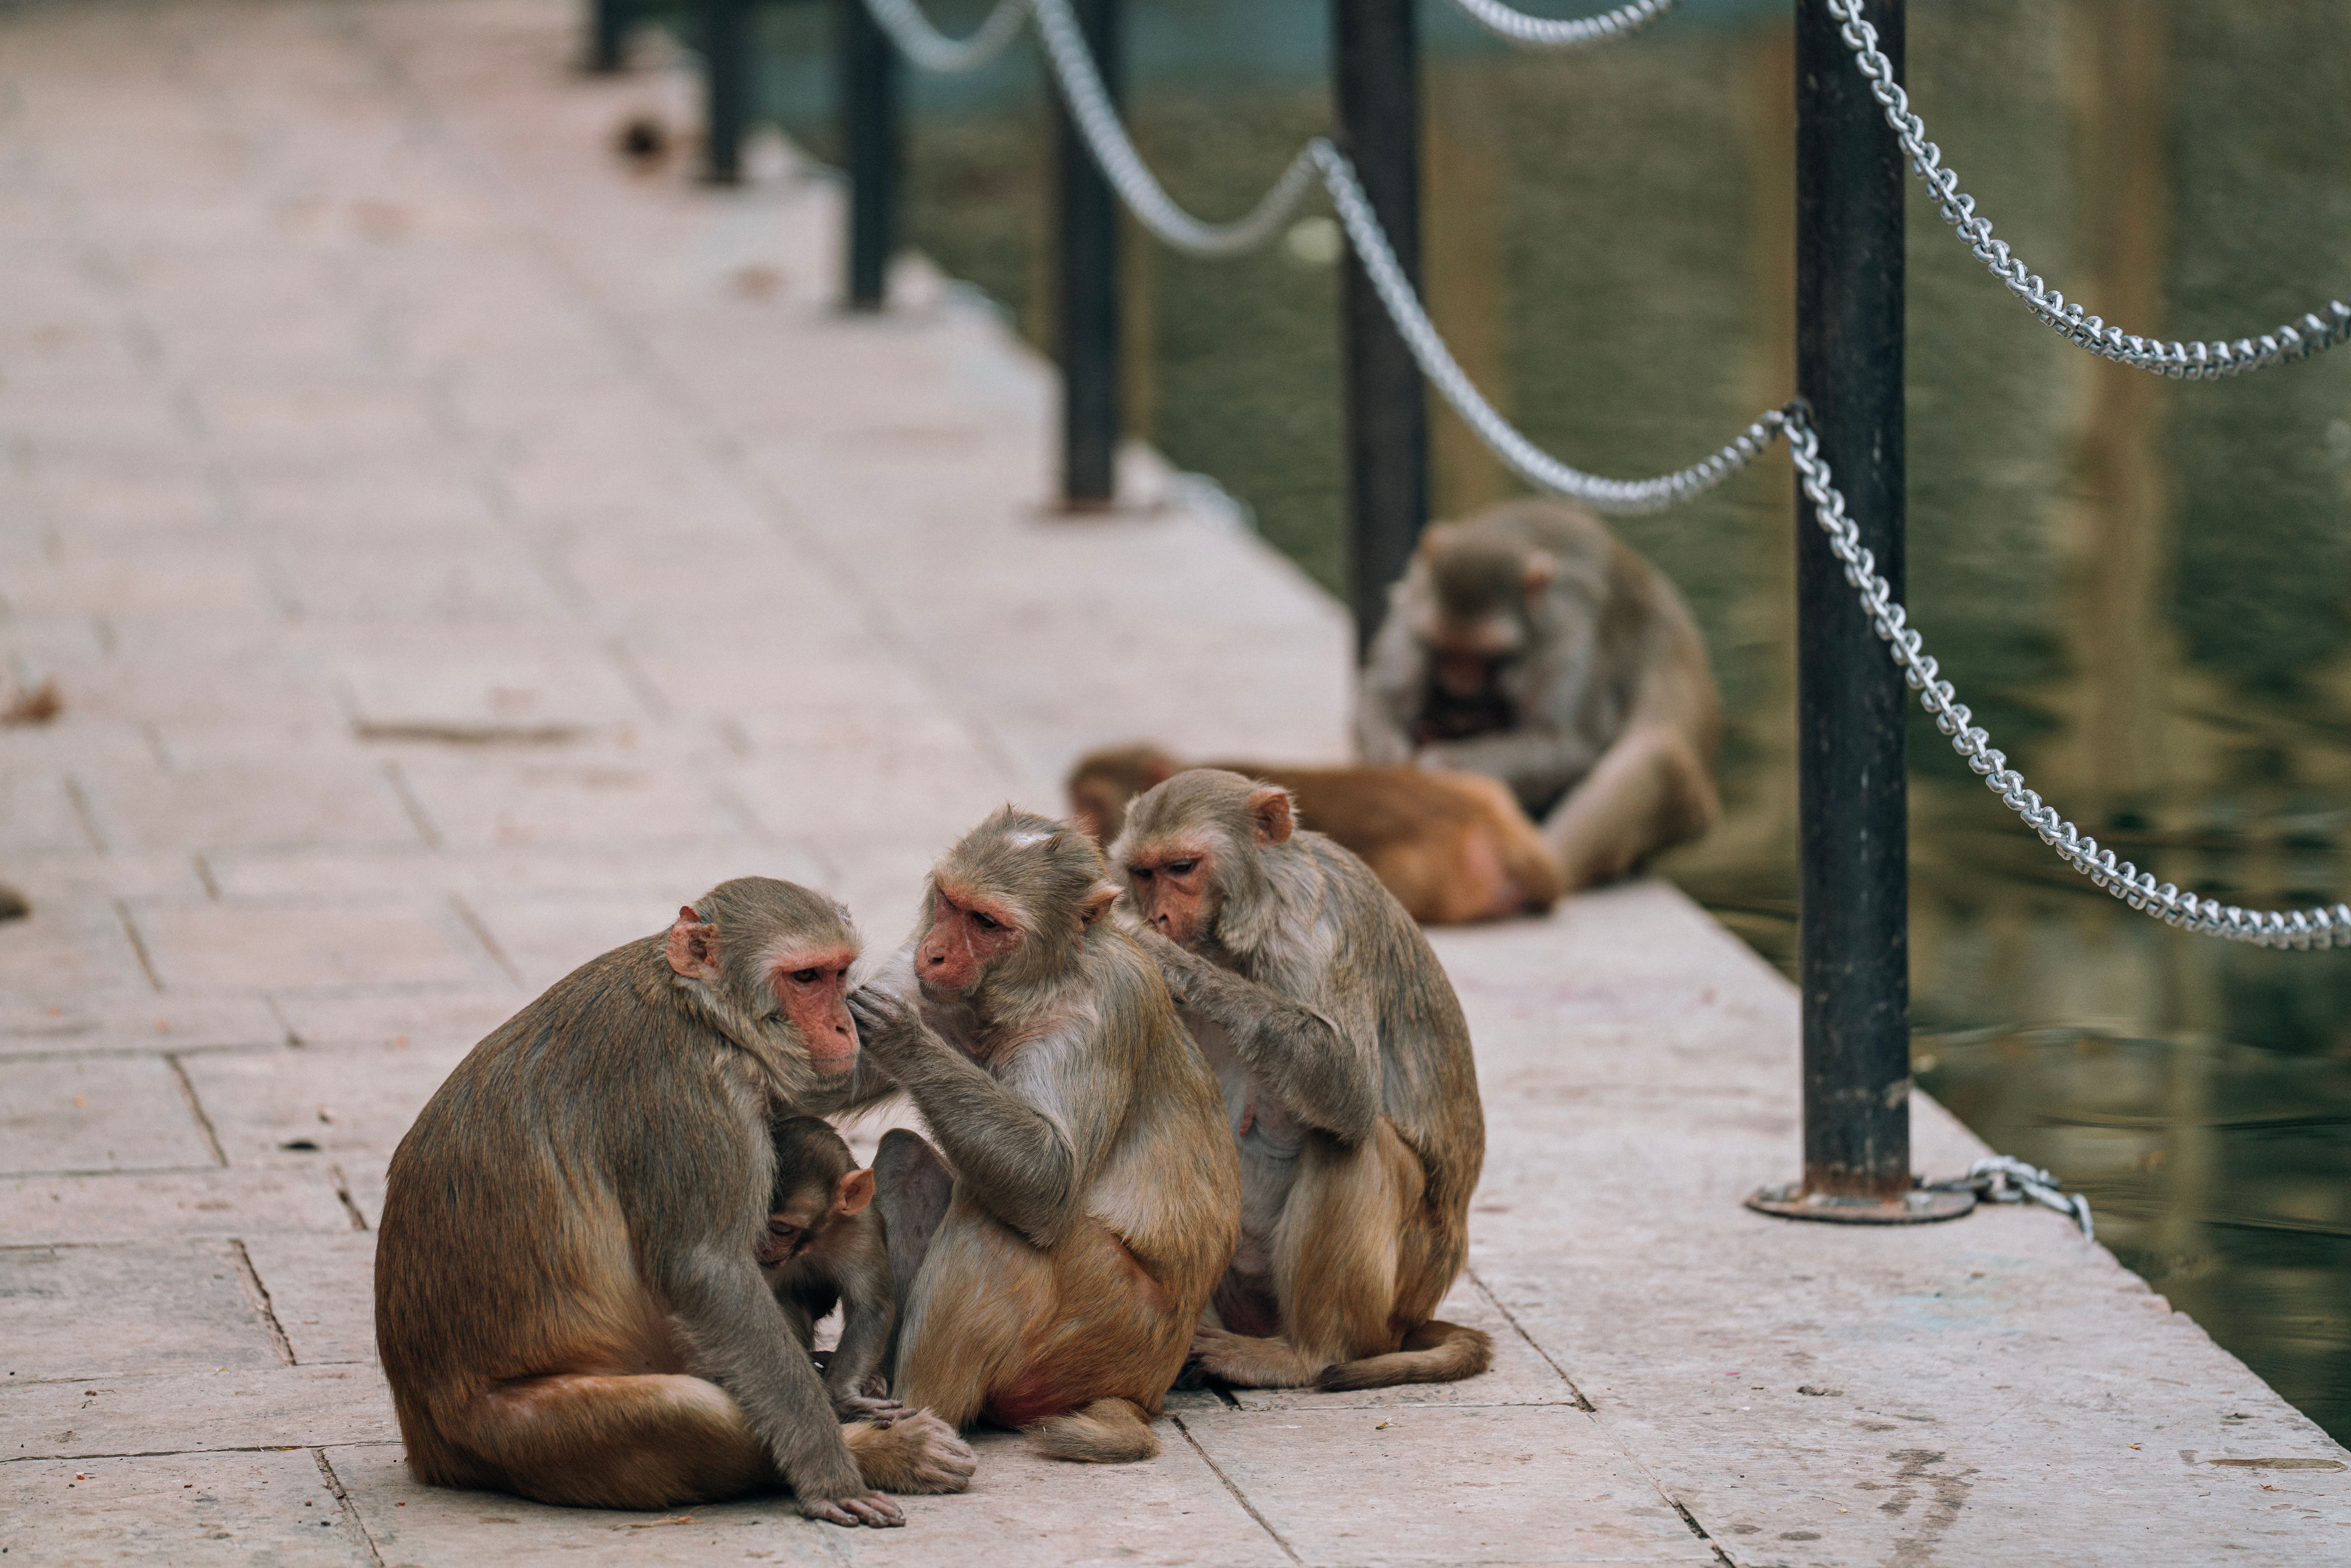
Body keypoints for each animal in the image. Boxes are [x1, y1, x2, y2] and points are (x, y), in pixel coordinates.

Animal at [757, 1115, 900, 1423]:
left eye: (782, 1229)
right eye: (759, 1221)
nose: (762, 1245)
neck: (814, 1241)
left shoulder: (862, 1230)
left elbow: (872, 1310)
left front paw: (844, 1394)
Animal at [840, 807, 1241, 1464]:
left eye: (986, 923)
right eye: (950, 903)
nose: (936, 954)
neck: (1039, 984)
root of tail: (1145, 1396)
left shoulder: (1094, 1020)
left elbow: (1049, 1178)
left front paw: (904, 1039)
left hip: (1107, 1330)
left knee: (997, 1220)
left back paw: (917, 1425)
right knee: (904, 1158)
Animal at [1110, 768, 1491, 1391]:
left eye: (1182, 867)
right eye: (1143, 872)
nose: (1159, 916)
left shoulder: (1317, 932)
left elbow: (1350, 1085)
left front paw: (1166, 957)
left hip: (1400, 1289)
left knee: (1354, 1139)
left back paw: (1304, 1354)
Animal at [1355, 497, 1723, 890]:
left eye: (1487, 657)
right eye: (1444, 649)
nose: (1459, 683)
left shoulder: (1570, 627)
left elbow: (1565, 746)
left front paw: (1445, 767)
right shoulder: (1413, 598)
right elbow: (1384, 694)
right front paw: (1390, 758)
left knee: (1653, 756)